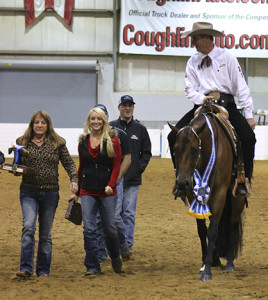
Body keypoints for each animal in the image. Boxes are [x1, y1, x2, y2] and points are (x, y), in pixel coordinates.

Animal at [170, 105, 247, 282]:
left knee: (233, 223)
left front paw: (207, 271)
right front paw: (205, 262)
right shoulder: (193, 194)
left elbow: (212, 230)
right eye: (175, 150)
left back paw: (229, 262)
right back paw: (216, 259)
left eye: (194, 149)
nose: (182, 183)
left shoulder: (219, 193)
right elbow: (202, 230)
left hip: (236, 196)